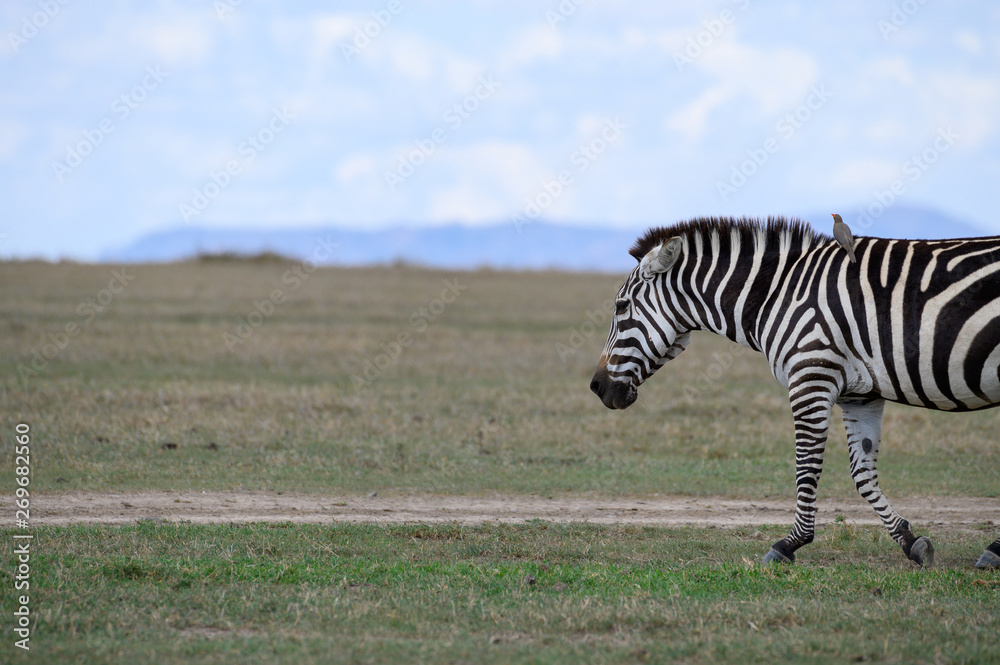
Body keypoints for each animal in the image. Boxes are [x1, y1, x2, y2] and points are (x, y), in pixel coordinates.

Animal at [589, 216, 1000, 568]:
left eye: (621, 306)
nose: (596, 387)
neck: (776, 294)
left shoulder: (810, 376)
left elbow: (807, 464)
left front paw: (790, 543)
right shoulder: (859, 394)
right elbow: (862, 472)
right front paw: (909, 540)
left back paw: (993, 552)